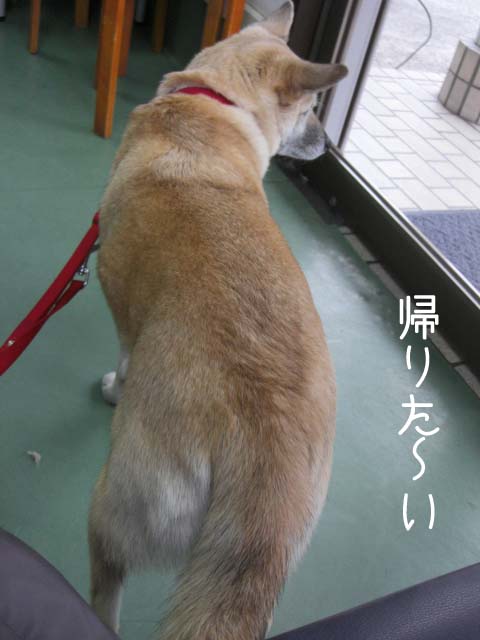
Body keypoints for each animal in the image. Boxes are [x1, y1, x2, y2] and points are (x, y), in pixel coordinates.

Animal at [89, 2, 347, 638]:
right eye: (311, 109)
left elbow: (125, 357)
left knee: (108, 580)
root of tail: (267, 469)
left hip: (119, 504)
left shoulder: (123, 308)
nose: (329, 143)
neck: (214, 100)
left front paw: (113, 387)